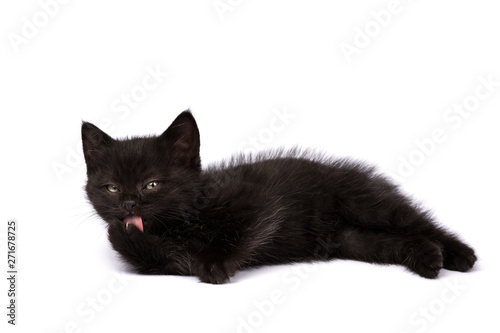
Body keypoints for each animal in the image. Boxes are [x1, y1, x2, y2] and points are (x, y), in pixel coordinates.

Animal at [82, 110, 476, 282]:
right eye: (111, 187)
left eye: (152, 184)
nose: (128, 204)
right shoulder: (158, 259)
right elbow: (163, 256)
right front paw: (124, 231)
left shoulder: (261, 202)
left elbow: (240, 231)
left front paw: (214, 263)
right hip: (354, 241)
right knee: (395, 241)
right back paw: (429, 258)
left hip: (365, 201)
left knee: (418, 222)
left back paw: (458, 254)